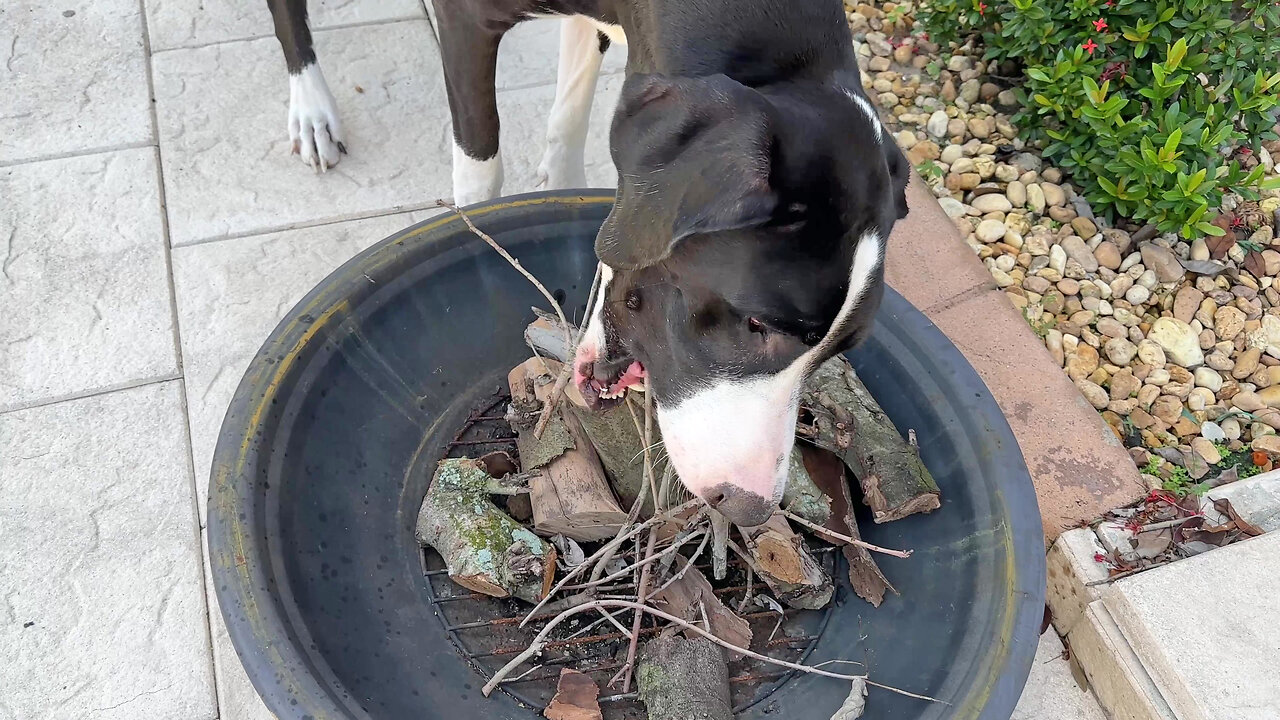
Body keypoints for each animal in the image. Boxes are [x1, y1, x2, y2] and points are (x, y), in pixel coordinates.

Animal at [270, 0, 911, 525]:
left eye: (837, 352)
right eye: (756, 325)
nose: (751, 507)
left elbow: (571, 121)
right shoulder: (466, 22)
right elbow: (481, 169)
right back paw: (311, 109)